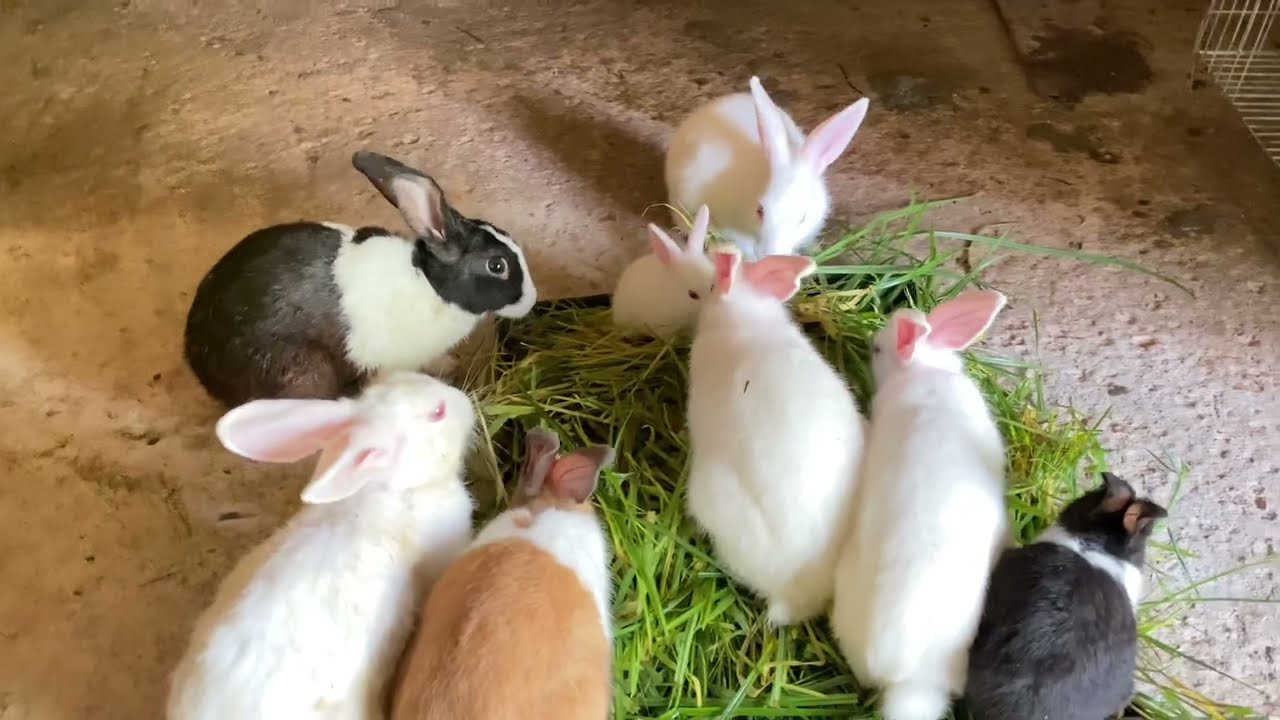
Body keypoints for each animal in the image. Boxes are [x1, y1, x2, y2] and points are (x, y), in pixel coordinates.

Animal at [184, 150, 537, 408]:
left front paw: (447, 364)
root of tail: (197, 359)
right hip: (305, 372)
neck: (429, 286)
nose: (531, 300)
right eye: (497, 265)